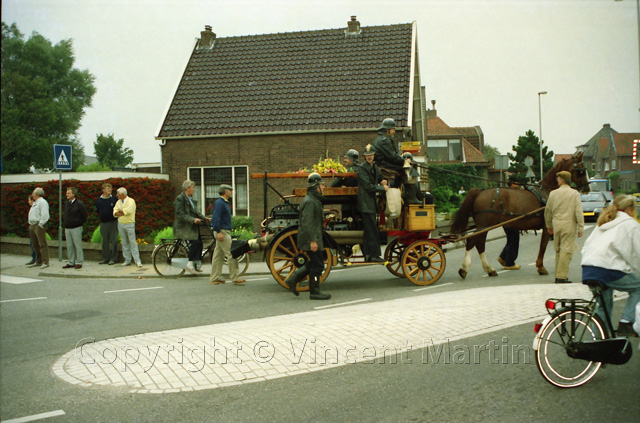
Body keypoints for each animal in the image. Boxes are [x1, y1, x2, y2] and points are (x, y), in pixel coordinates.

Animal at [450, 151, 592, 280]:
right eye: (581, 171)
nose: (587, 189)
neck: (546, 191)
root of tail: (480, 191)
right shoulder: (547, 227)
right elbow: (543, 246)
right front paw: (541, 267)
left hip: (484, 226)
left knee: (480, 245)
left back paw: (489, 269)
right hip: (484, 225)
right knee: (472, 242)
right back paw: (464, 269)